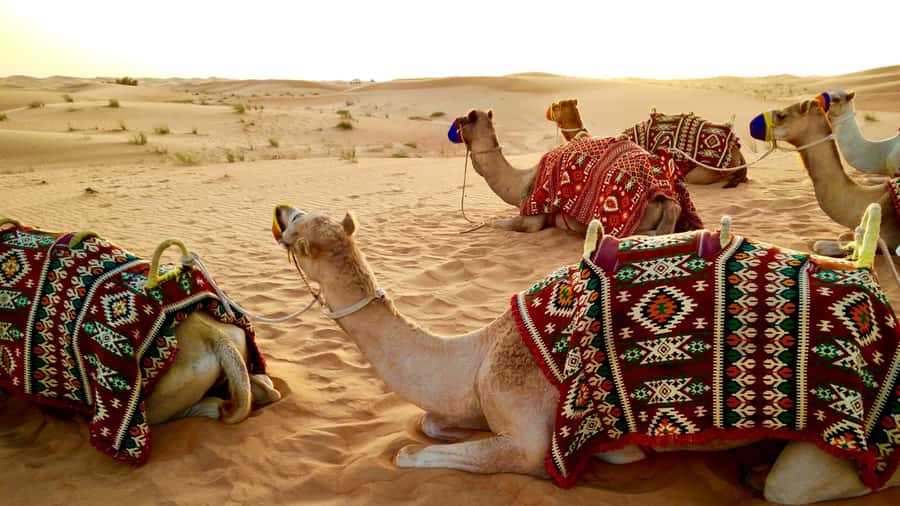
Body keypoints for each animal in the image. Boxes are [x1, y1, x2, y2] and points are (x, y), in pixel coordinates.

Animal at [271, 203, 900, 505]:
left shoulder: (530, 438)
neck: (478, 353)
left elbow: (412, 453)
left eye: (300, 233)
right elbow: (430, 424)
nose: (280, 211)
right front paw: (623, 453)